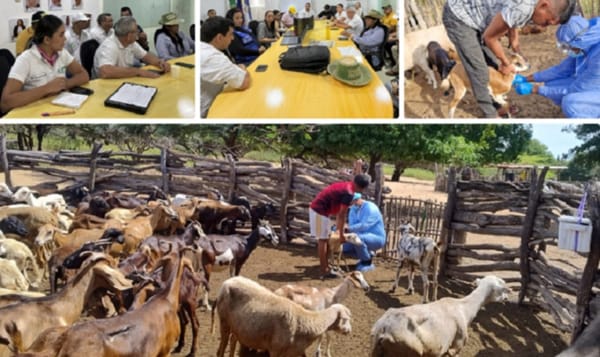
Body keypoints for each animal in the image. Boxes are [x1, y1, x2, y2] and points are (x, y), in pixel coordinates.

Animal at [213, 276, 352, 356]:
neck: (303, 321)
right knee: (221, 349)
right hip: (224, 323)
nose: (349, 331)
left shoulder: (295, 352)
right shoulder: (275, 350)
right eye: (345, 319)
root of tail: (227, 282)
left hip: (239, 329)